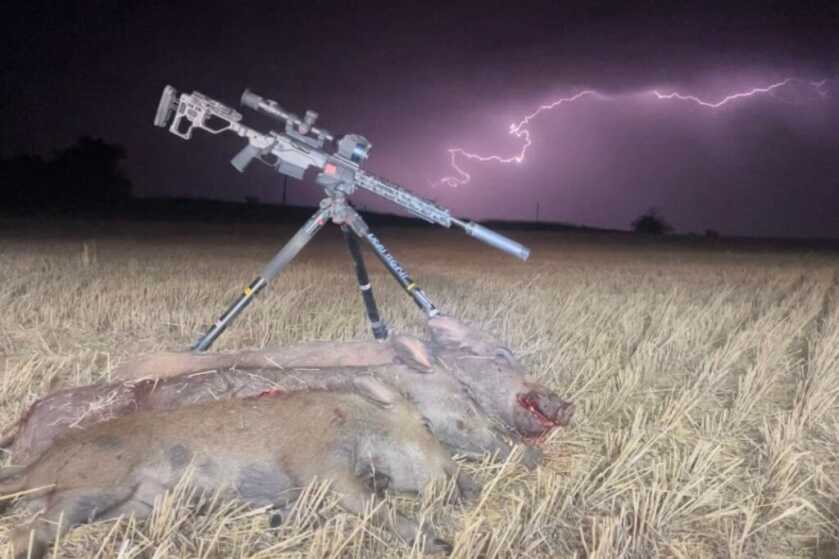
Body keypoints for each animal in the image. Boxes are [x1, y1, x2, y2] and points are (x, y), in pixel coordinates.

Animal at [0, 377, 472, 559]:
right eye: (426, 424)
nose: (469, 484)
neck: (355, 425)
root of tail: (37, 467)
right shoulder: (321, 466)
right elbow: (376, 506)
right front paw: (439, 543)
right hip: (94, 483)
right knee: (28, 530)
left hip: (133, 504)